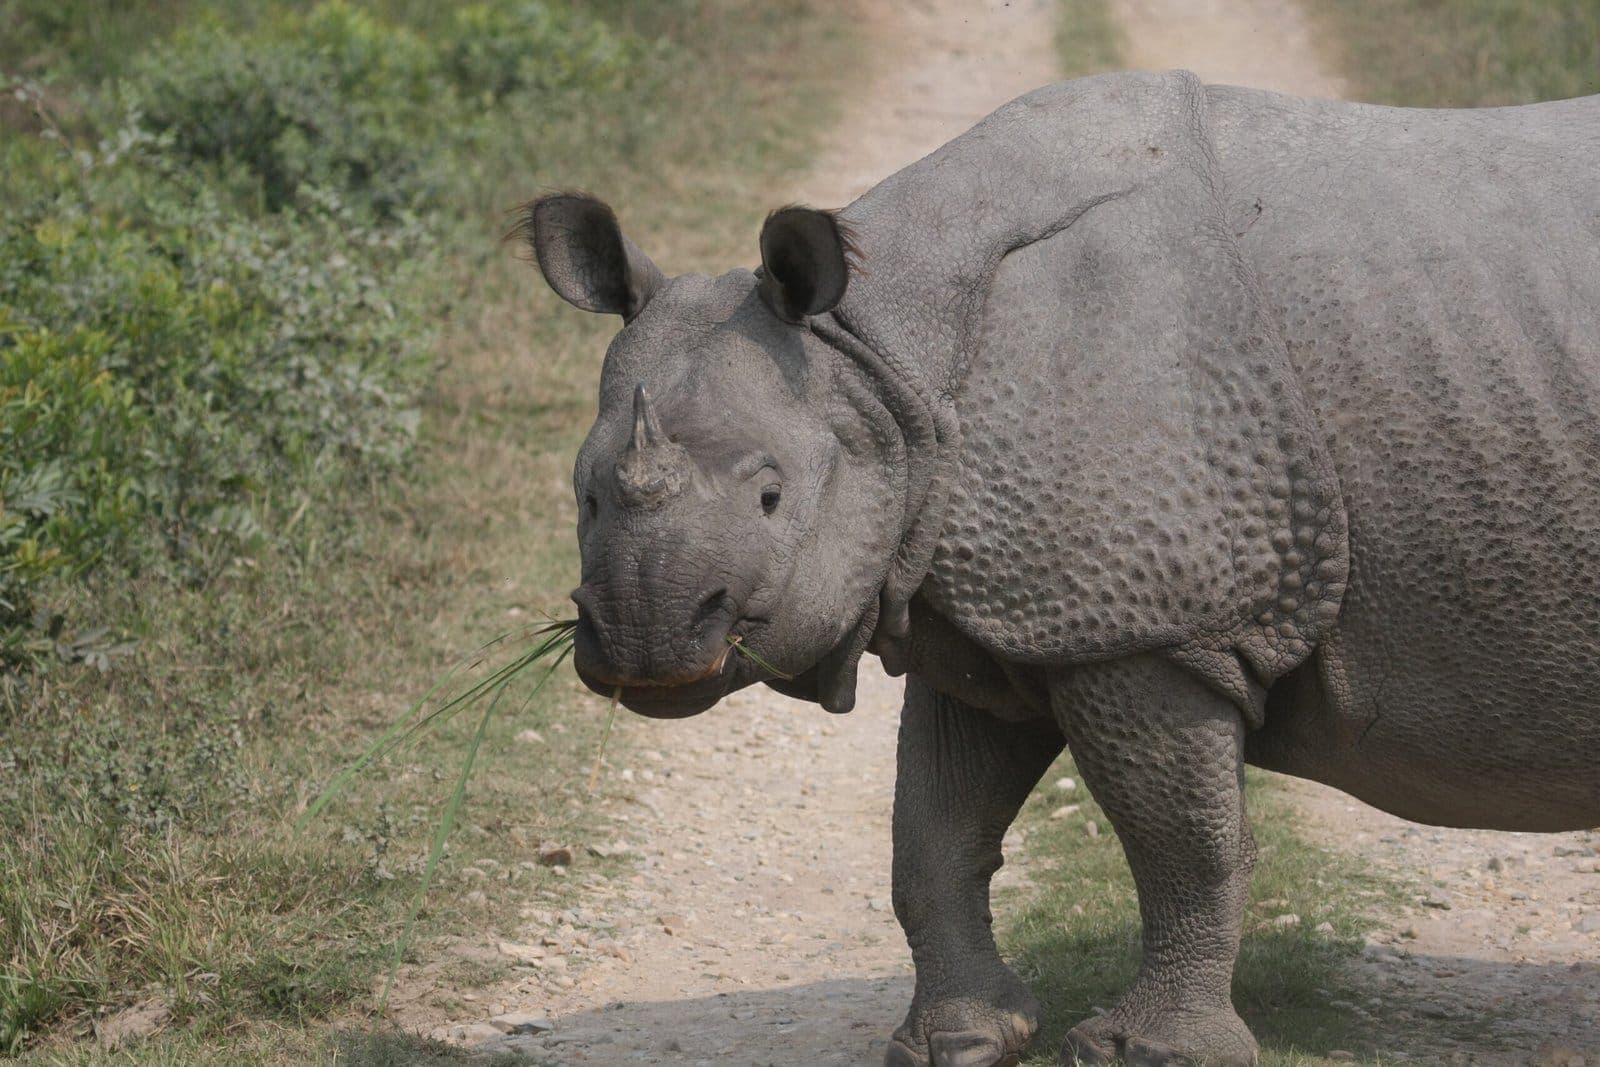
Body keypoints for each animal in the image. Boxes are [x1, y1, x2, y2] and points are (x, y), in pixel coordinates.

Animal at [518, 71, 1600, 1065]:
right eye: (584, 495)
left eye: (772, 496)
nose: (644, 637)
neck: (880, 354)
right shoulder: (997, 597)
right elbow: (933, 830)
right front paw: (955, 1041)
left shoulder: (1144, 620)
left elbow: (1182, 842)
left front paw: (1150, 1050)